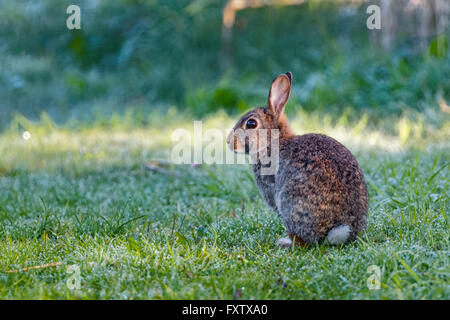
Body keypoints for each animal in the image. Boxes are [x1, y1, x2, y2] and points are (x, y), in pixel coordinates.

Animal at [227, 72, 368, 248]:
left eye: (251, 123)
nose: (229, 142)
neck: (273, 141)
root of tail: (338, 230)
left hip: (289, 201)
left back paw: (284, 242)